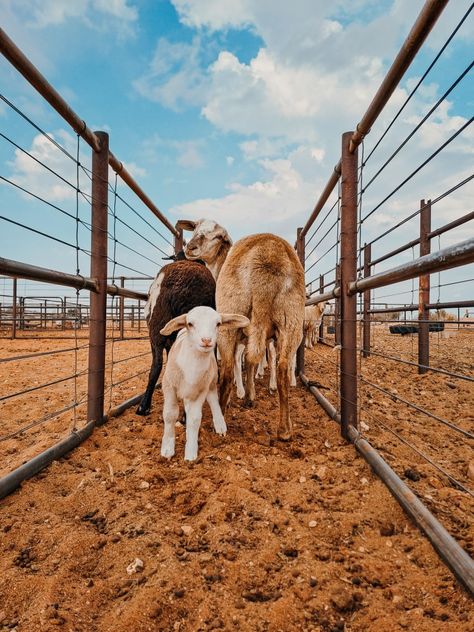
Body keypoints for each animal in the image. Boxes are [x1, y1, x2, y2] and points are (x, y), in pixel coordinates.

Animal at [160, 304, 250, 460]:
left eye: (218, 323)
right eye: (190, 323)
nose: (206, 340)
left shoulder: (200, 391)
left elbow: (195, 419)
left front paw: (191, 453)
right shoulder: (169, 387)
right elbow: (170, 415)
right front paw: (167, 448)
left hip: (212, 380)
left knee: (213, 398)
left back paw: (220, 424)